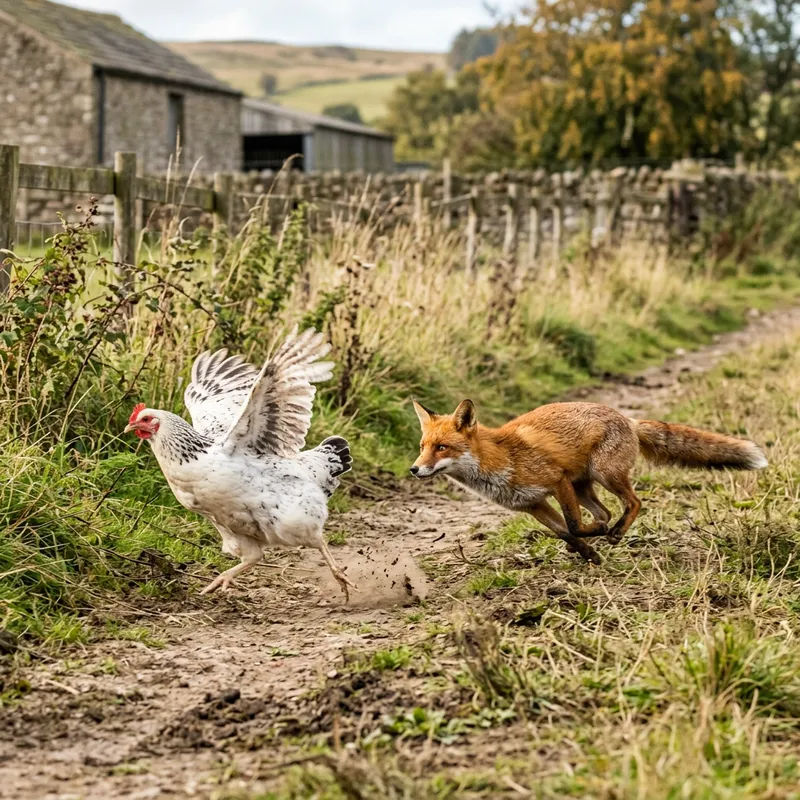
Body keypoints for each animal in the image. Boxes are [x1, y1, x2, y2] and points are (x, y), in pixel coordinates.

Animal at [410, 399, 767, 564]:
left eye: (442, 447)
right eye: (422, 446)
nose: (414, 470)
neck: (500, 460)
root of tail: (627, 419)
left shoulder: (557, 482)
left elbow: (573, 525)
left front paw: (595, 541)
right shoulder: (533, 504)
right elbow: (565, 533)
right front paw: (588, 555)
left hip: (603, 475)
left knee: (633, 503)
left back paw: (615, 532)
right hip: (584, 487)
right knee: (606, 512)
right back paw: (605, 533)